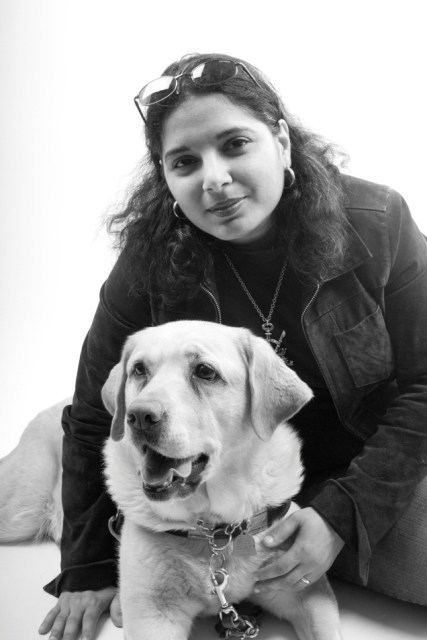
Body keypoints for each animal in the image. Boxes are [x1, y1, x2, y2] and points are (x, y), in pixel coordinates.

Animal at [0, 322, 342, 640]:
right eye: (139, 370)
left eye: (205, 371)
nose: (139, 416)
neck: (214, 531)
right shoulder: (152, 615)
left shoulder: (305, 591)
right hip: (21, 511)